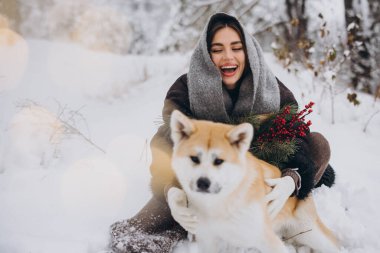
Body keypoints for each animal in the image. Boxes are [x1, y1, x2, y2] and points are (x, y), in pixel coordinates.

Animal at [169, 110, 338, 253]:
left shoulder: (269, 241)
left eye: (219, 161)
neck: (220, 204)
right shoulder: (208, 240)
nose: (203, 183)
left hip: (313, 235)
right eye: (194, 159)